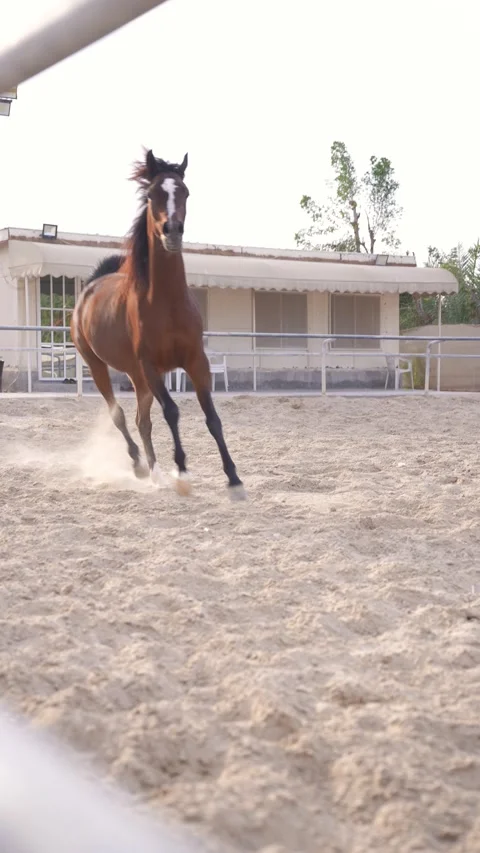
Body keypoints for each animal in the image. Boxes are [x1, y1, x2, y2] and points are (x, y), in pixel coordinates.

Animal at [71, 149, 245, 500]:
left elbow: (212, 418)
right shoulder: (151, 366)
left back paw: (154, 471)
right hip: (99, 366)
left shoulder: (195, 361)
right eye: (152, 194)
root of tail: (89, 290)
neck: (166, 303)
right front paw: (182, 471)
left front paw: (233, 477)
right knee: (120, 416)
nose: (172, 231)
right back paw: (140, 466)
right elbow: (172, 412)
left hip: (137, 378)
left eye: (185, 192)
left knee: (142, 420)